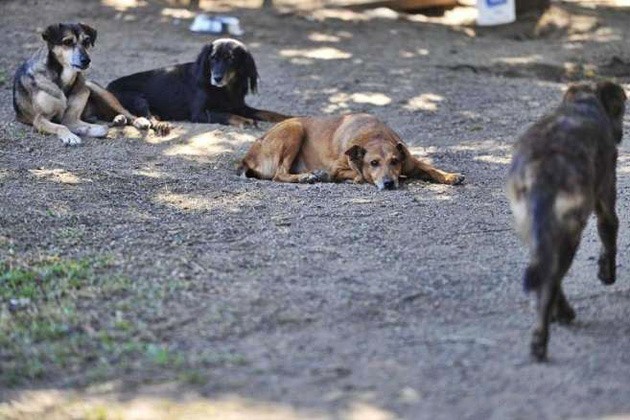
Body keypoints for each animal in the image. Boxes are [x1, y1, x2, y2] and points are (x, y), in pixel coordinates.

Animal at [107, 38, 292, 127]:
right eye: (212, 58)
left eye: (231, 59)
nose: (217, 78)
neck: (226, 89)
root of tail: (107, 87)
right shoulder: (200, 113)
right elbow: (224, 114)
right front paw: (245, 121)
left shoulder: (240, 106)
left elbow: (267, 112)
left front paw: (289, 117)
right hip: (137, 97)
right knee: (147, 117)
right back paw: (161, 124)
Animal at [239, 113, 466, 189]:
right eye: (373, 163)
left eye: (395, 161)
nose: (389, 183)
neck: (374, 135)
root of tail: (247, 157)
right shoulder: (337, 167)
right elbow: (358, 174)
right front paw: (355, 177)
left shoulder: (410, 161)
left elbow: (431, 168)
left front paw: (451, 176)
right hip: (294, 128)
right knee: (279, 174)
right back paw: (307, 177)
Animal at [508, 81, 628, 360]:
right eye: (621, 109)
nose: (620, 133)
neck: (583, 104)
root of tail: (542, 169)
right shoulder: (605, 198)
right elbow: (610, 236)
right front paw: (607, 273)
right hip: (570, 230)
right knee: (552, 279)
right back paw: (543, 338)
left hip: (536, 229)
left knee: (545, 273)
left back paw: (558, 315)